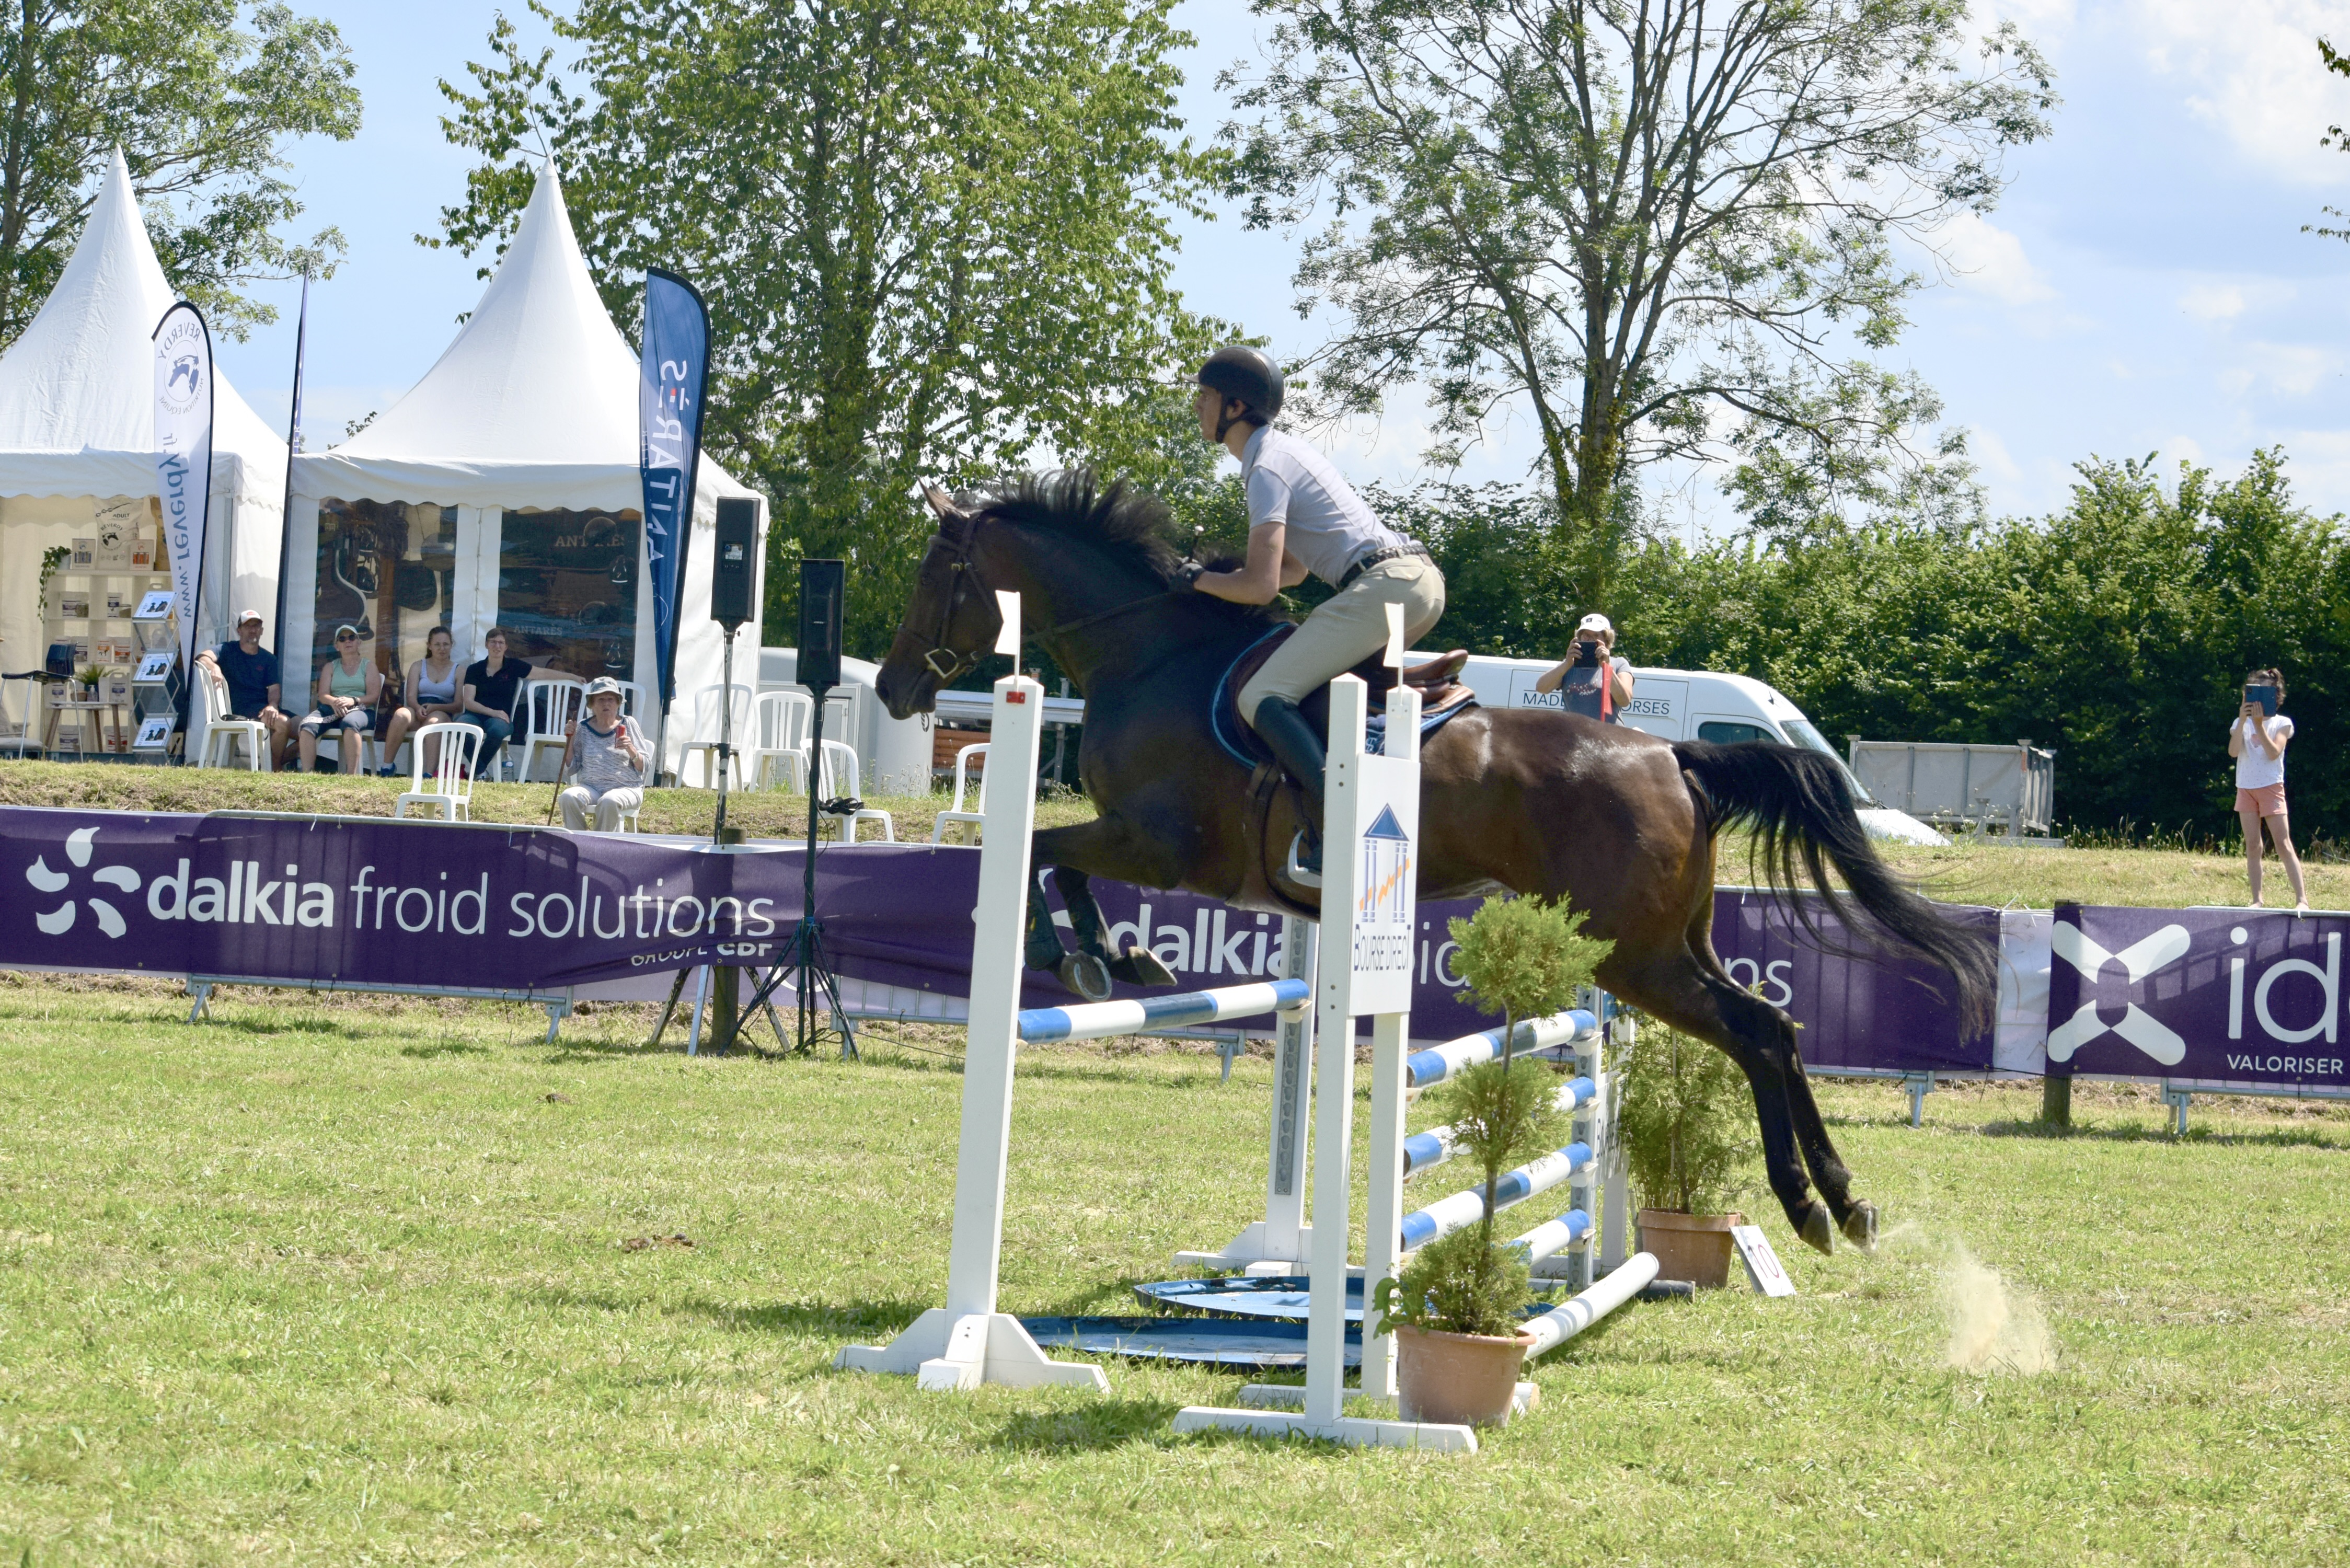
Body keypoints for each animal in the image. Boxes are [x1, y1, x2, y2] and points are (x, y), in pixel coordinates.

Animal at [874, 472, 1994, 1255]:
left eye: (935, 576)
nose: (890, 689)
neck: (1151, 656)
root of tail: (1670, 754)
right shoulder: (1150, 847)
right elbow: (1055, 866)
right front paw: (1121, 959)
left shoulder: (1160, 844)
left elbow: (1041, 859)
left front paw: (1091, 961)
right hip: (1674, 941)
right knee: (1779, 1027)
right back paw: (1845, 1199)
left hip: (1634, 959)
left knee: (1758, 1033)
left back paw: (1811, 1202)